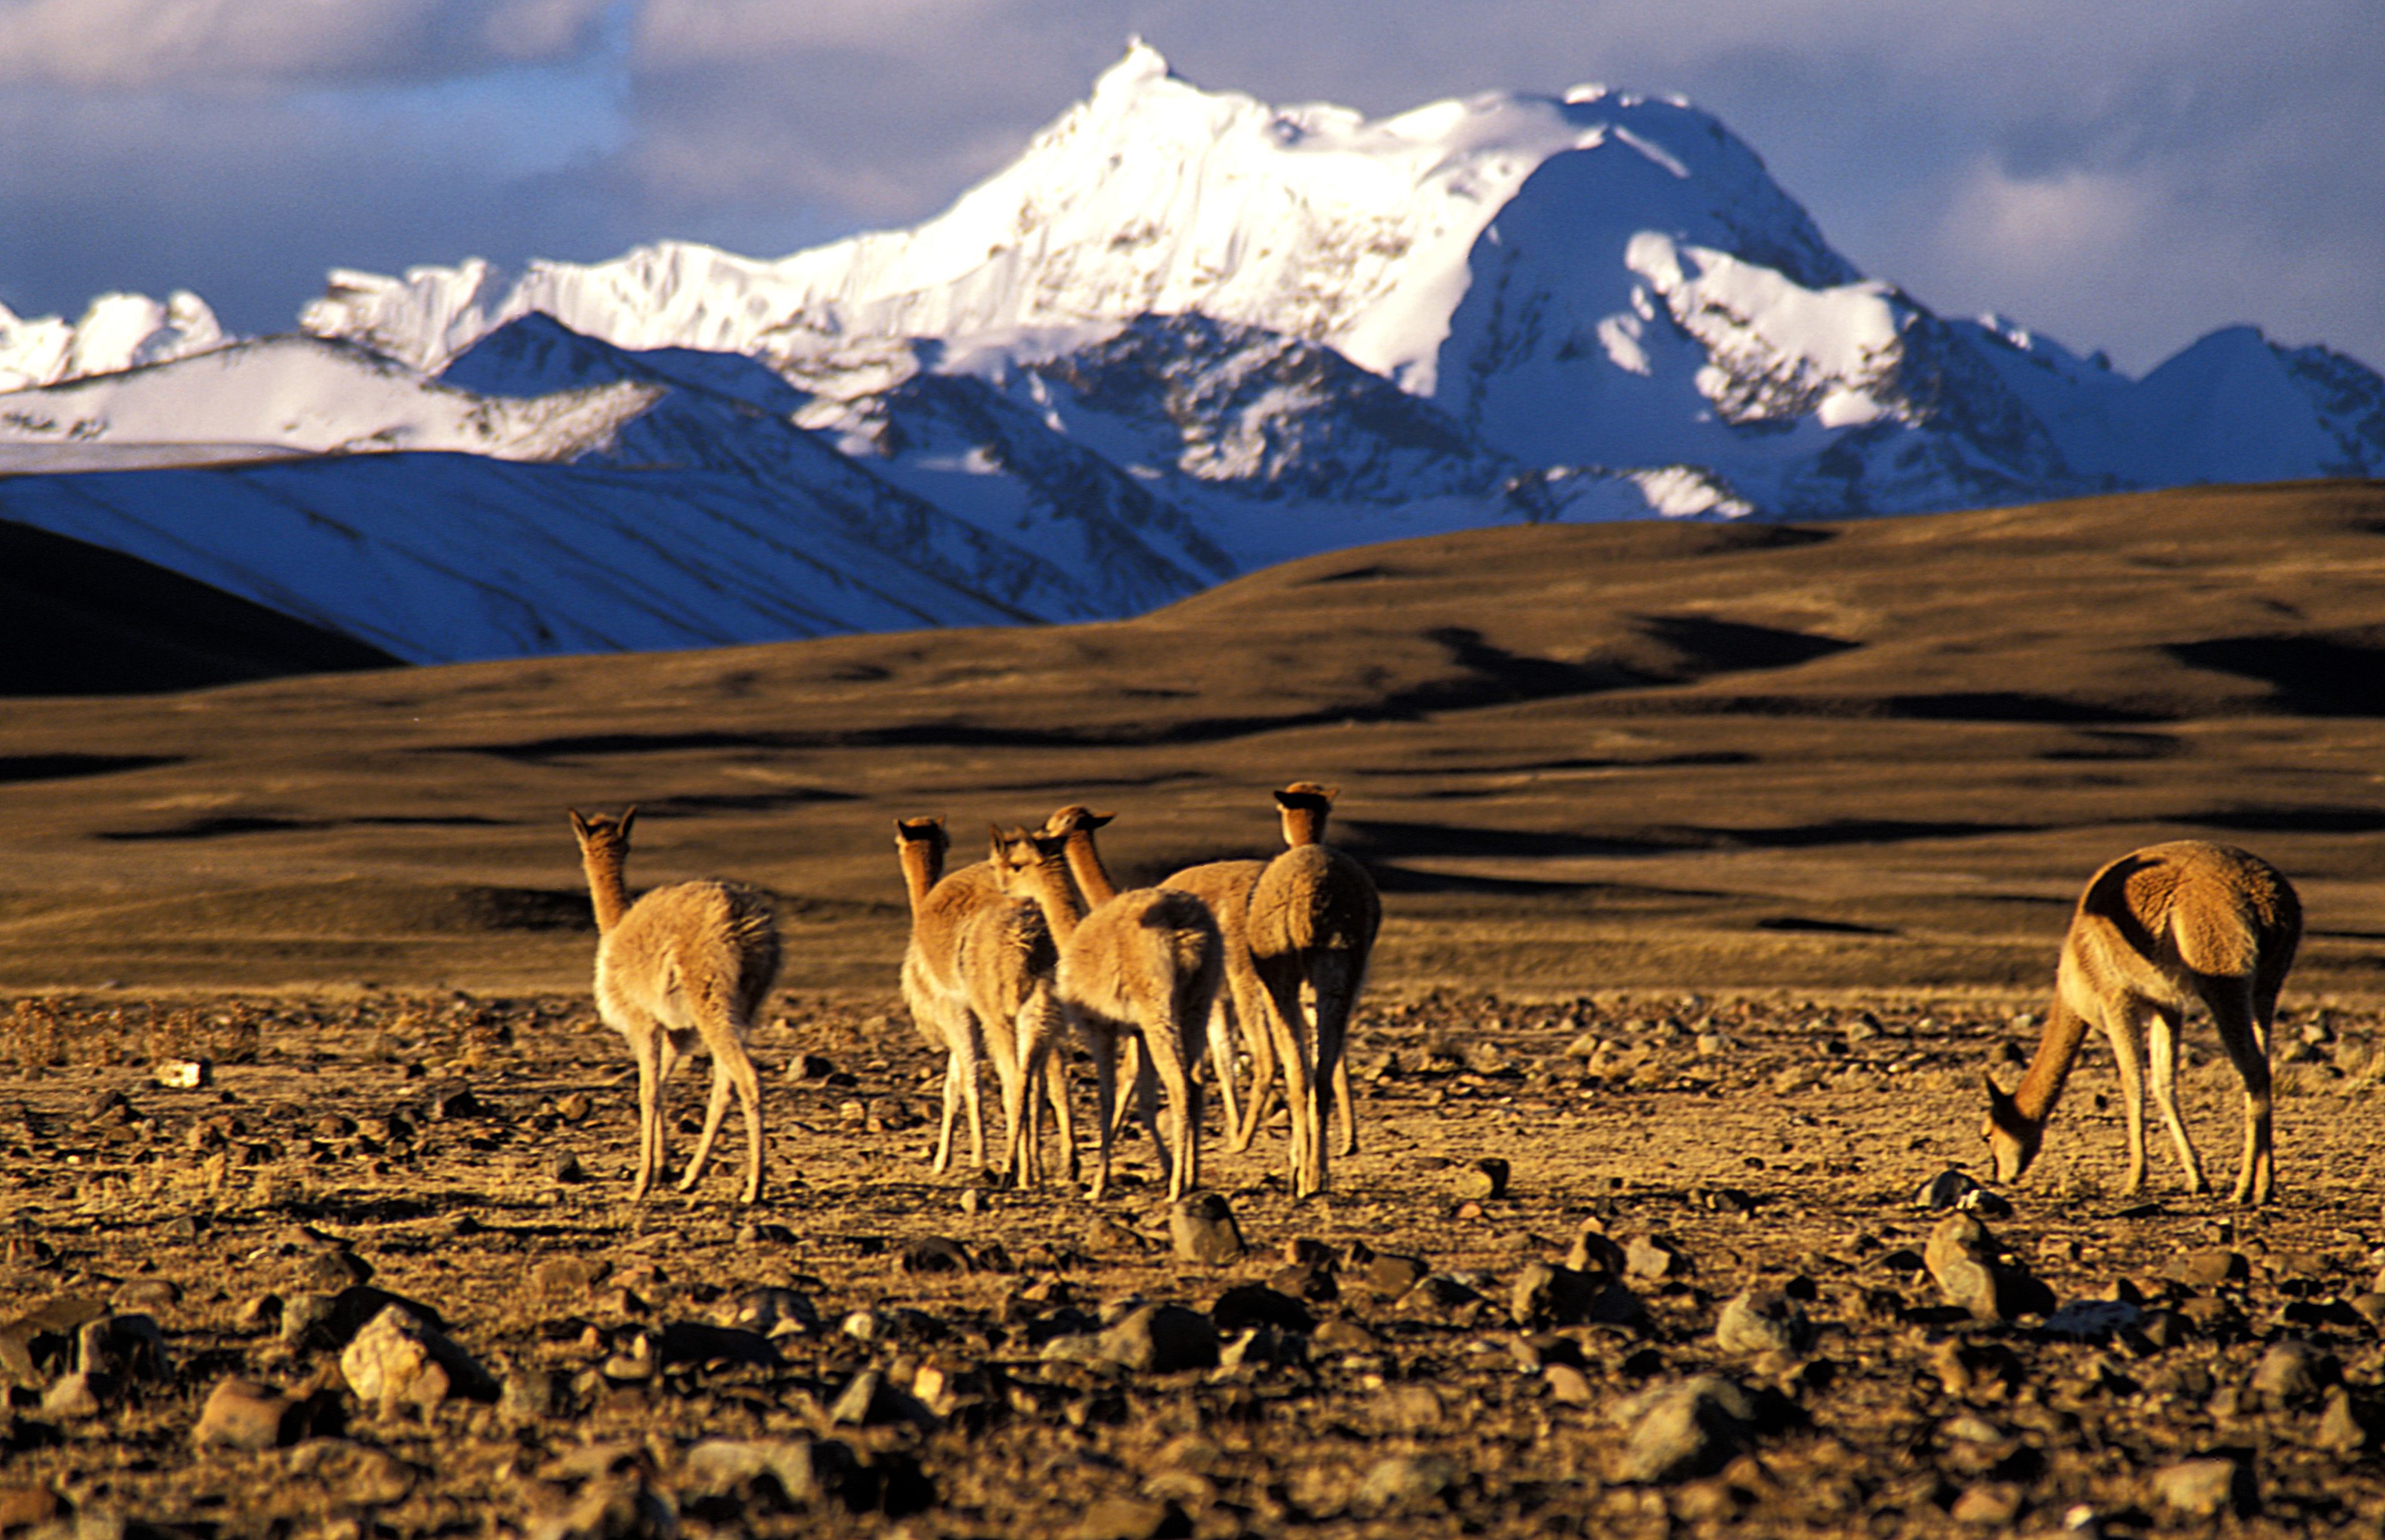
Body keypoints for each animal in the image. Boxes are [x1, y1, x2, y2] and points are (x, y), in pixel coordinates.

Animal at [569, 807, 778, 1205]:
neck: (616, 925)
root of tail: (742, 922)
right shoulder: (676, 1032)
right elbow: (662, 1086)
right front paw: (662, 1168)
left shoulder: (643, 1022)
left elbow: (648, 1090)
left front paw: (642, 1182)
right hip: (742, 1008)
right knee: (725, 1086)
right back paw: (692, 1177)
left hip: (711, 1001)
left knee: (746, 1078)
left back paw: (754, 1187)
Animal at [991, 823, 1222, 1201]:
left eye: (1015, 864)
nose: (1003, 887)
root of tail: (1185, 926)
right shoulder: (1136, 1032)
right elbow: (1143, 1099)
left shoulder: (1100, 1028)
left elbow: (1108, 1097)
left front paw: (1097, 1186)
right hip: (1197, 1005)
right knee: (1196, 1083)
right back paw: (1191, 1179)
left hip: (1159, 1008)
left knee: (1179, 1082)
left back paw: (1176, 1189)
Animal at [1246, 782, 1380, 1198]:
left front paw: (1294, 1164)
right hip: (1340, 972)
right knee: (1320, 1076)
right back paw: (1318, 1176)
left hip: (1283, 981)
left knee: (1299, 1076)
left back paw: (1305, 1178)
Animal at [1983, 840, 2300, 1206]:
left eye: (1987, 1135)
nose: (2001, 1176)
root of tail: (2264, 898)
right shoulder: (2167, 1007)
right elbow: (2164, 1086)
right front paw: (2197, 1179)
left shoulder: (2116, 999)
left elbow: (2132, 1083)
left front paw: (2134, 1180)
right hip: (2267, 985)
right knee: (2263, 1064)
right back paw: (2265, 1184)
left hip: (2223, 978)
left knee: (2253, 1071)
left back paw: (2245, 1189)